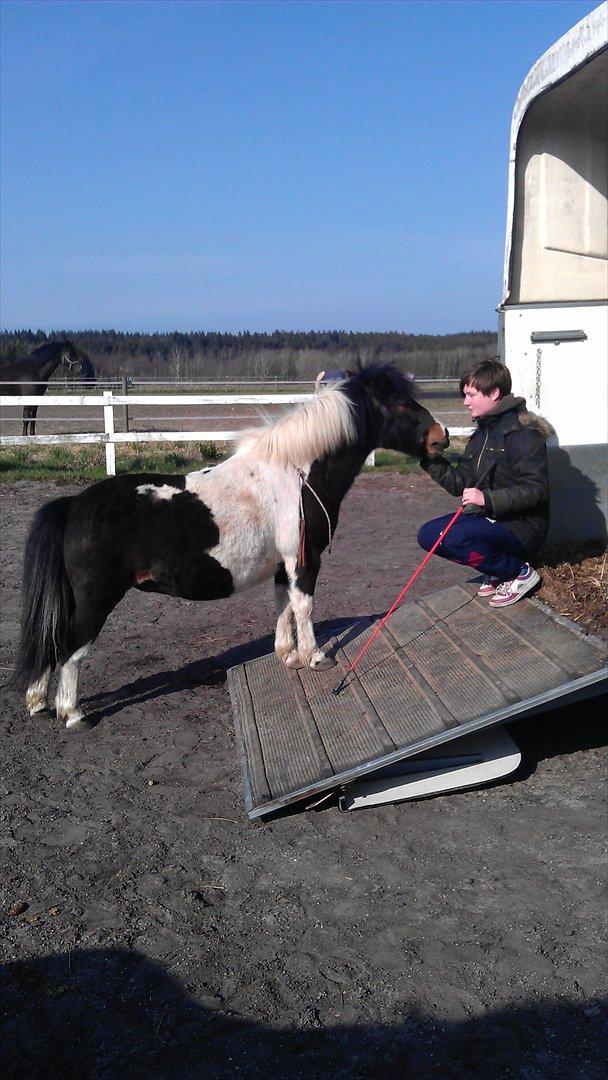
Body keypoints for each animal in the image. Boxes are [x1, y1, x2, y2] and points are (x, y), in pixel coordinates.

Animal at [14, 365, 449, 734]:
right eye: (399, 403)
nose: (441, 436)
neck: (296, 475)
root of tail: (73, 505)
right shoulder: (304, 561)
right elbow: (304, 607)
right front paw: (315, 657)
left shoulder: (282, 565)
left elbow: (283, 606)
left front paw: (288, 655)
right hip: (95, 599)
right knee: (70, 648)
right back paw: (72, 714)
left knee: (51, 638)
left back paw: (38, 702)